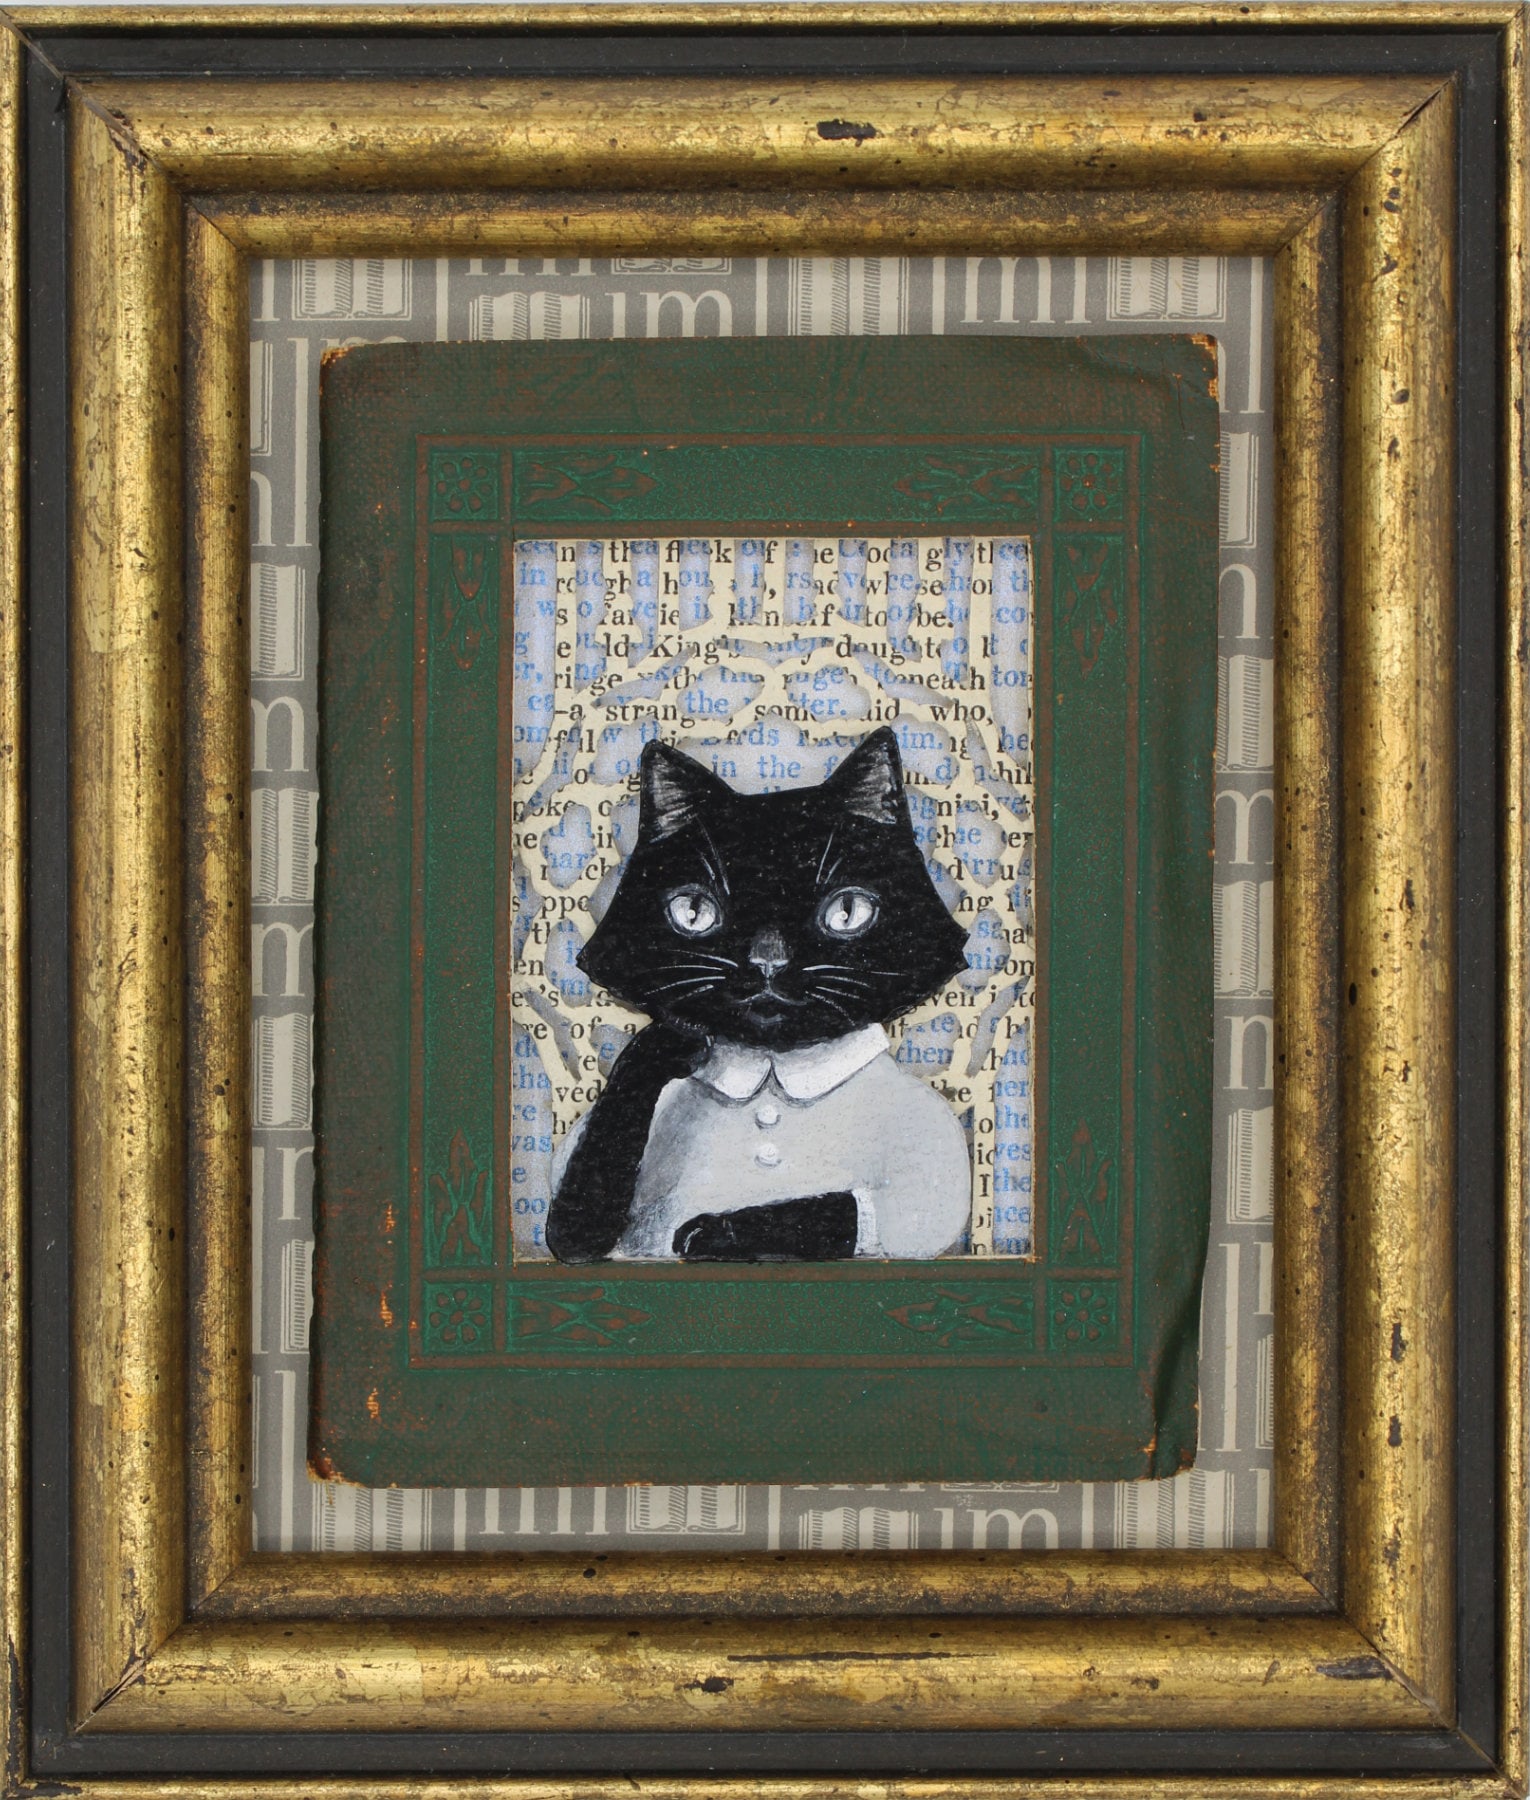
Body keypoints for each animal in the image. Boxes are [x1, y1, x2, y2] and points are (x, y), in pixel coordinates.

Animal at [544, 726, 973, 1263]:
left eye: (847, 911)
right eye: (693, 911)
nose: (768, 962)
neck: (773, 1069)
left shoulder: (932, 1157)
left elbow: (871, 1212)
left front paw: (710, 1231)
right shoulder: (583, 1200)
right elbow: (574, 1227)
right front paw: (673, 1038)